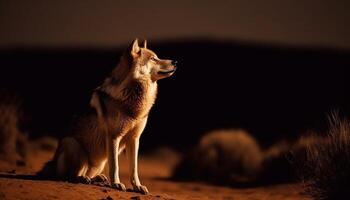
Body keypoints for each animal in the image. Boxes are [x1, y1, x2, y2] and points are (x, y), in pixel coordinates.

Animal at [37, 38, 178, 194]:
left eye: (157, 57)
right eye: (153, 58)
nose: (175, 61)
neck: (132, 98)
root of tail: (52, 163)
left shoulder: (134, 139)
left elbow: (134, 169)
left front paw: (138, 187)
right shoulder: (113, 137)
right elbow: (115, 166)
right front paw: (116, 184)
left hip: (99, 161)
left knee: (87, 174)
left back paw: (97, 179)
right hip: (73, 144)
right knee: (68, 176)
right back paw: (83, 179)